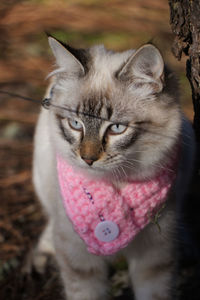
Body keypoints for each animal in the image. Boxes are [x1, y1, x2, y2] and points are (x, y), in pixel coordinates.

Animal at [32, 37, 195, 300]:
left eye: (117, 128)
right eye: (75, 124)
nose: (87, 159)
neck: (116, 183)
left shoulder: (156, 251)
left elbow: (154, 293)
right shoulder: (78, 256)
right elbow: (85, 293)